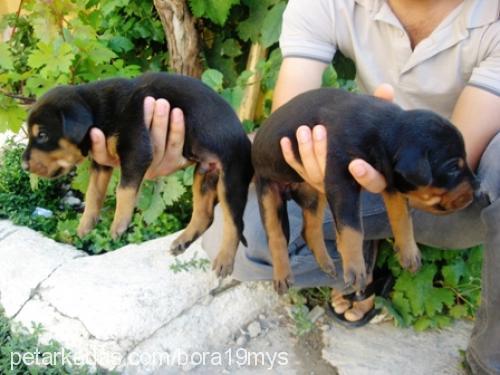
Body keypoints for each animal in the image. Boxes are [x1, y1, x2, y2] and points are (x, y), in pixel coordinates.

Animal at [22, 72, 254, 276]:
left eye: (42, 135)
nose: (23, 165)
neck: (98, 110)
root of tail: (245, 139)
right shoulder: (101, 162)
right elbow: (93, 194)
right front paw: (84, 229)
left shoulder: (136, 151)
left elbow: (123, 190)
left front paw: (118, 227)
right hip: (206, 172)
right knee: (205, 214)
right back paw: (183, 241)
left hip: (230, 179)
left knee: (235, 222)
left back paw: (225, 260)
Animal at [254, 88, 476, 294]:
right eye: (452, 168)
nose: (477, 189)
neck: (385, 131)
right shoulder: (341, 179)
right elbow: (352, 228)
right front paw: (355, 269)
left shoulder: (391, 182)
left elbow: (403, 218)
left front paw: (409, 252)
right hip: (267, 192)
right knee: (276, 236)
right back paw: (283, 275)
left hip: (313, 194)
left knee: (310, 229)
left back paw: (326, 263)